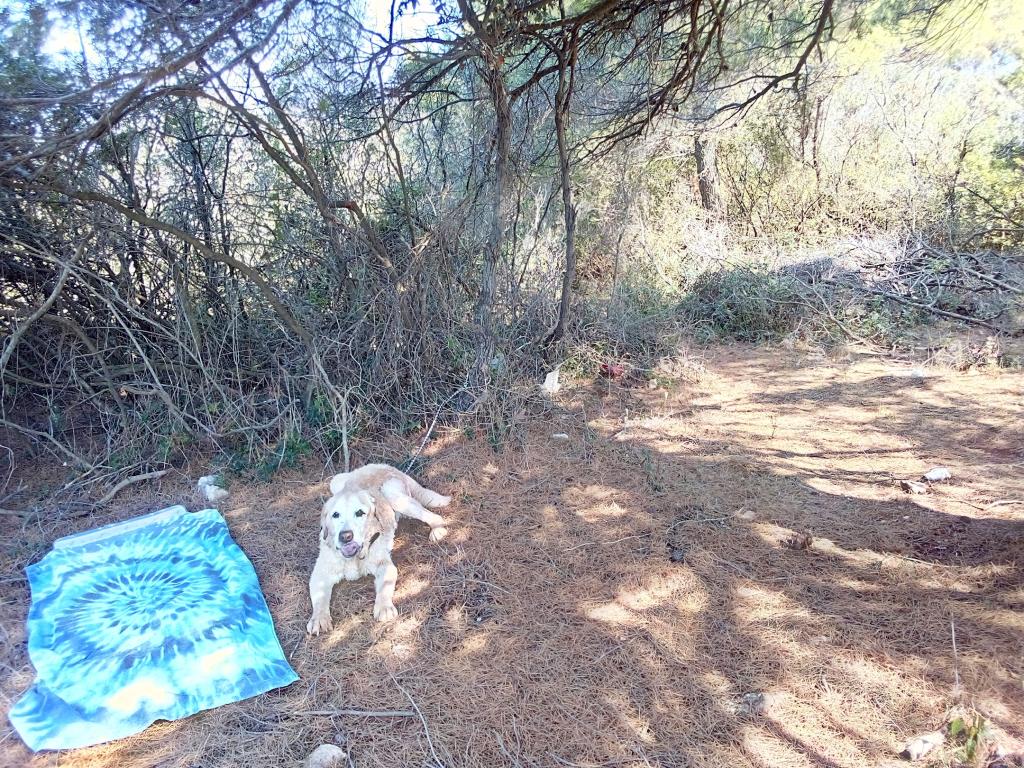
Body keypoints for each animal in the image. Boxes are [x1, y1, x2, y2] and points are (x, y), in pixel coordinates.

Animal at [306, 464, 451, 634]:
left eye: (360, 513)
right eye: (335, 515)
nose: (346, 536)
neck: (354, 558)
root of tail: (385, 466)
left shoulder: (385, 566)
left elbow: (384, 588)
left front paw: (384, 608)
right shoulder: (320, 574)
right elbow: (320, 600)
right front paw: (318, 618)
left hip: (393, 495)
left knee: (433, 516)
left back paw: (437, 530)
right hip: (335, 481)